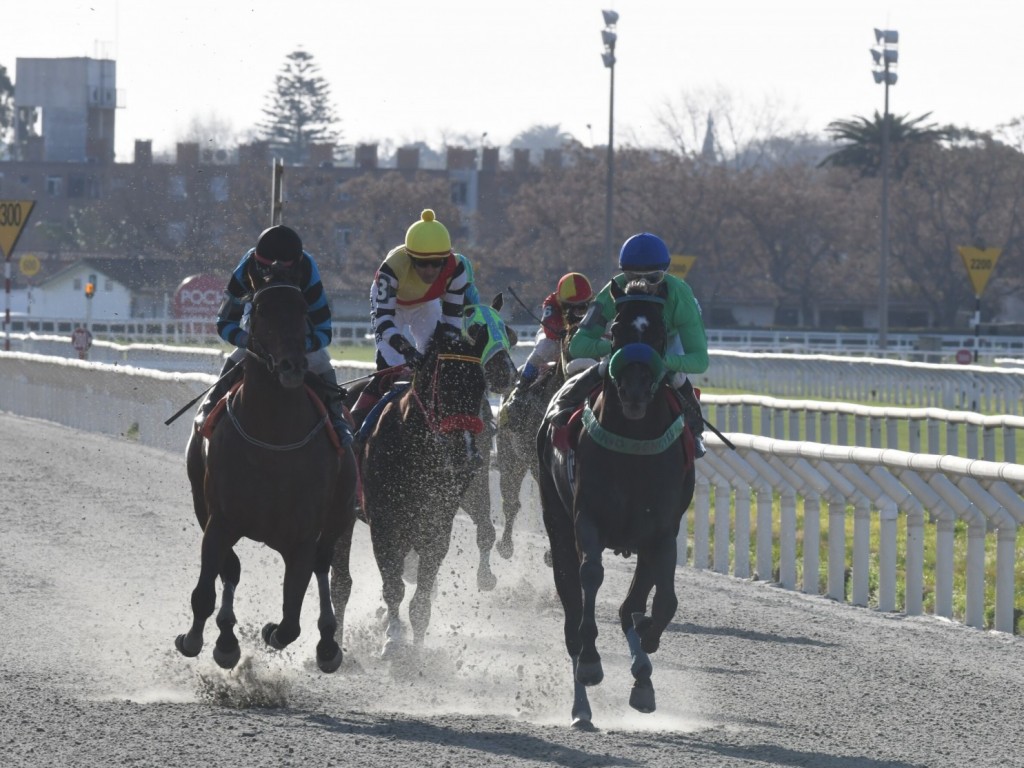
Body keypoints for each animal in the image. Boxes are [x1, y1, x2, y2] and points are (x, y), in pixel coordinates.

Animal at [180, 280, 360, 671]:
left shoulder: (302, 537)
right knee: (231, 570)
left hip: (340, 513)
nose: (293, 365)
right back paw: (226, 637)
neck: (273, 438)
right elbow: (206, 589)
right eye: (261, 310)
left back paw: (328, 645)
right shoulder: (218, 520)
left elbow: (291, 620)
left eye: (303, 309)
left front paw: (272, 631)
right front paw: (202, 640)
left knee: (323, 566)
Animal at [358, 321, 489, 659]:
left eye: (481, 387)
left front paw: (417, 649)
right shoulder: (384, 525)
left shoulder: (437, 523)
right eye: (445, 386)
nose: (467, 455)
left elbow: (422, 595)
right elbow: (393, 587)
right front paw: (393, 638)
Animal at [536, 280, 696, 729]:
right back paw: (581, 708)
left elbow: (662, 601)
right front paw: (593, 663)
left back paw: (641, 676)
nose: (635, 392)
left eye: (659, 333)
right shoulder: (585, 519)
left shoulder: (662, 531)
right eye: (618, 331)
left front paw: (648, 650)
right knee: (572, 616)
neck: (634, 447)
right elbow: (590, 577)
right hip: (556, 523)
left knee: (631, 606)